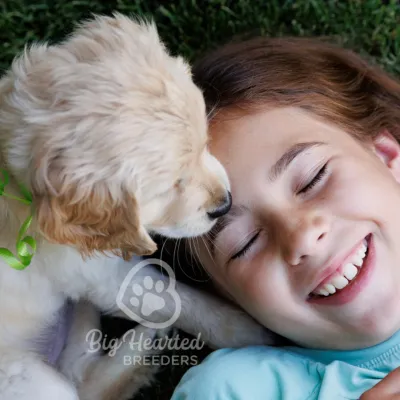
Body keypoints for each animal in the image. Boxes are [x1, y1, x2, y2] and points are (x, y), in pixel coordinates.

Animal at [0, 13, 272, 400]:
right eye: (171, 187)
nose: (224, 204)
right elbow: (177, 299)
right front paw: (251, 333)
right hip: (29, 377)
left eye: (206, 143)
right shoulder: (98, 275)